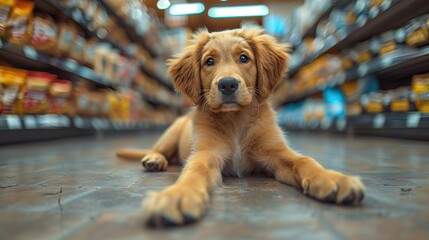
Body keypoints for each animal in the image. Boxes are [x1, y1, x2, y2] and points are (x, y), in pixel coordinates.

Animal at [118, 28, 364, 227]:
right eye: (209, 61)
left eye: (244, 58)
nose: (227, 84)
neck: (235, 120)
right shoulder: (206, 152)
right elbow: (194, 170)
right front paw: (177, 195)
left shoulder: (275, 151)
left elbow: (303, 160)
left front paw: (332, 178)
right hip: (172, 131)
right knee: (159, 149)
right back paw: (154, 159)